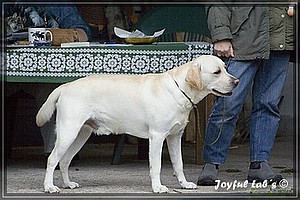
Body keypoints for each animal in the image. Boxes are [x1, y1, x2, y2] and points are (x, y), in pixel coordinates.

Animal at [36, 55, 238, 194]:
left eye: (226, 68)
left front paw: (184, 184)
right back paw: (49, 187)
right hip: (68, 132)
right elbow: (156, 166)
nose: (236, 81)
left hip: (80, 135)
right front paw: (157, 187)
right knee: (52, 159)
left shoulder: (175, 137)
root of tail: (66, 86)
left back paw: (67, 184)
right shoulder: (157, 136)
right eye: (217, 72)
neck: (179, 90)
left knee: (64, 160)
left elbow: (178, 164)